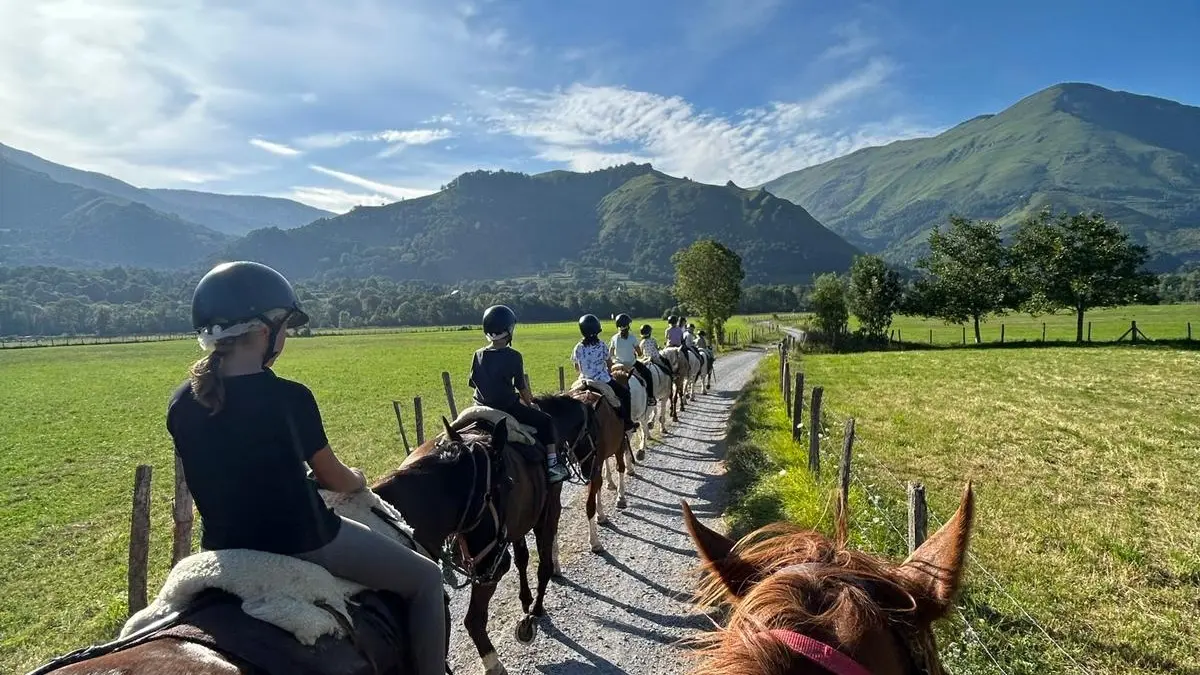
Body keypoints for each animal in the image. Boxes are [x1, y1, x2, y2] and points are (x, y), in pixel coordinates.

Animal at [535, 386, 628, 550]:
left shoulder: (593, 465)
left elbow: (589, 504)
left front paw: (594, 541)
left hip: (616, 448)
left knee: (620, 468)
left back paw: (620, 498)